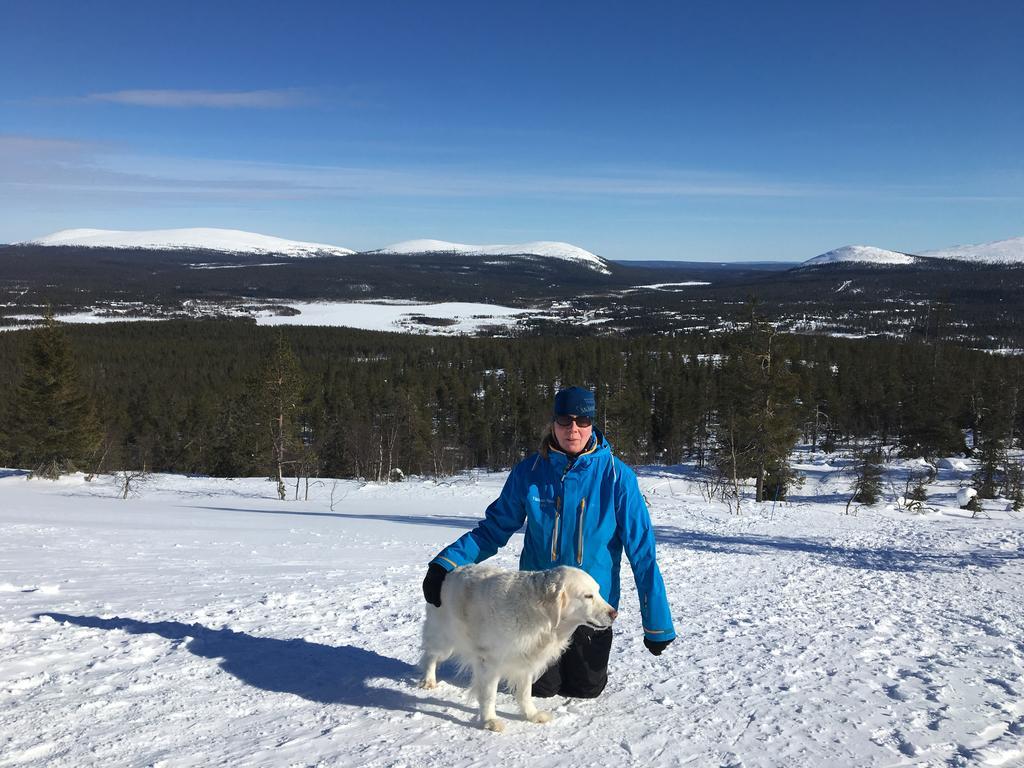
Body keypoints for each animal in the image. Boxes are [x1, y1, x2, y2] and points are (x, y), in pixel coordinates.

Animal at [415, 565, 614, 733]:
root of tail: (449, 572)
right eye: (588, 596)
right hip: (444, 640)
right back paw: (429, 680)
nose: (615, 613)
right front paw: (490, 721)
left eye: (598, 592)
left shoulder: (525, 662)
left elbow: (525, 693)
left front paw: (531, 715)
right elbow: (489, 695)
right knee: (430, 656)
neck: (539, 616)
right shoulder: (490, 663)